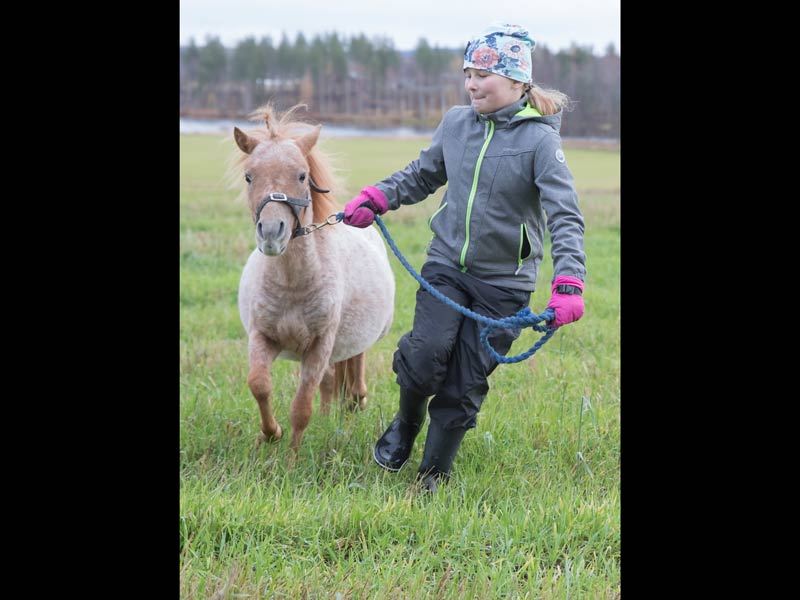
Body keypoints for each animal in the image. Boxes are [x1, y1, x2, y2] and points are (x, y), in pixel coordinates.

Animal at [230, 105, 396, 458]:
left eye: (302, 175)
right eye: (249, 176)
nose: (271, 232)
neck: (292, 285)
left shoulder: (319, 346)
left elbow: (301, 407)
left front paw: (291, 460)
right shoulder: (262, 338)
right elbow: (259, 385)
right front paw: (270, 434)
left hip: (354, 343)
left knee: (354, 379)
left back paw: (350, 410)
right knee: (331, 381)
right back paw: (327, 418)